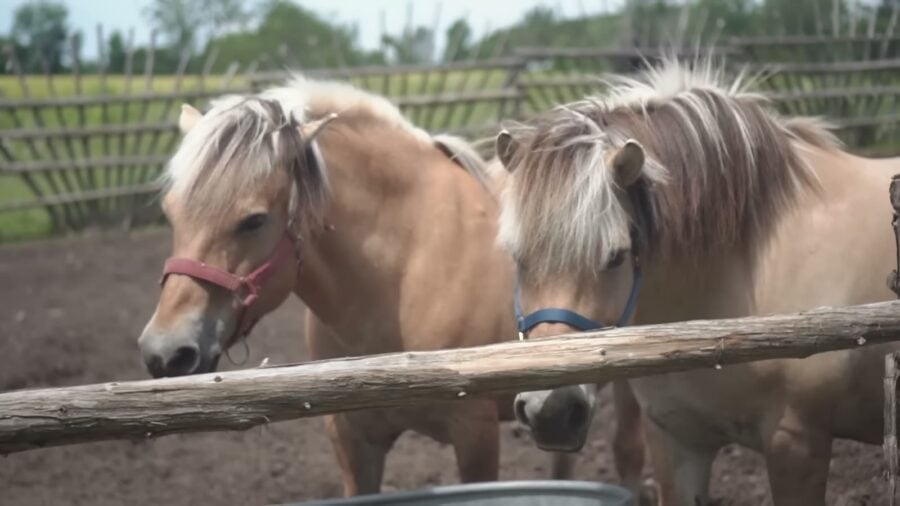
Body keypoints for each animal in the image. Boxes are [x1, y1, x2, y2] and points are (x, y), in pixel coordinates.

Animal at [134, 75, 644, 496]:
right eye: (171, 211)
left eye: (253, 220)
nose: (165, 352)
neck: (405, 272)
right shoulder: (353, 439)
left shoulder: (475, 433)